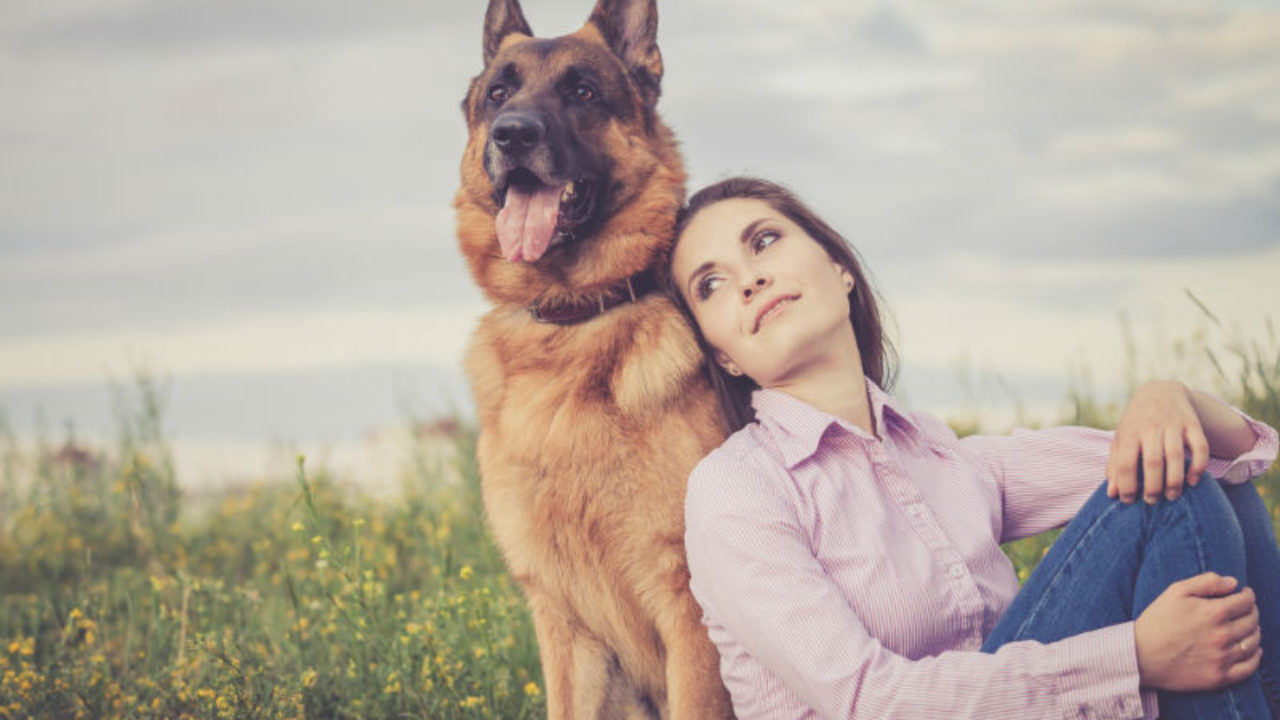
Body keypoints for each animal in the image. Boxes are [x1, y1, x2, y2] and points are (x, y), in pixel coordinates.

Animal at [453, 0, 732, 712]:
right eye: (498, 94)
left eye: (582, 92)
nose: (512, 135)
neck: (570, 322)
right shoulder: (562, 623)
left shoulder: (691, 613)